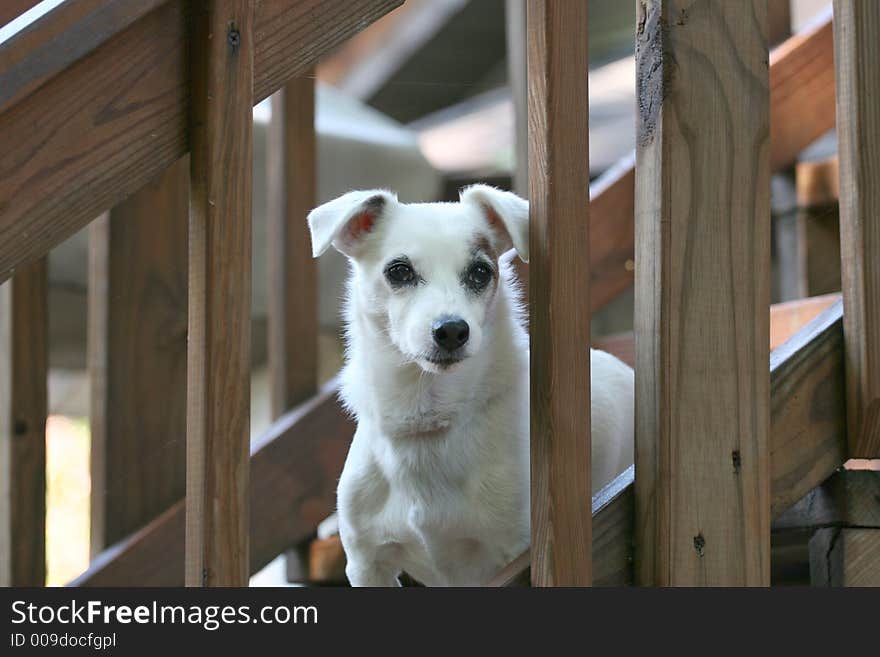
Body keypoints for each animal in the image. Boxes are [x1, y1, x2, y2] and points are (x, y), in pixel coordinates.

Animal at [310, 186, 632, 584]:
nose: (451, 329)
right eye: (399, 271)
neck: (428, 420)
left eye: (480, 272)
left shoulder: (513, 554)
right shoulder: (367, 564)